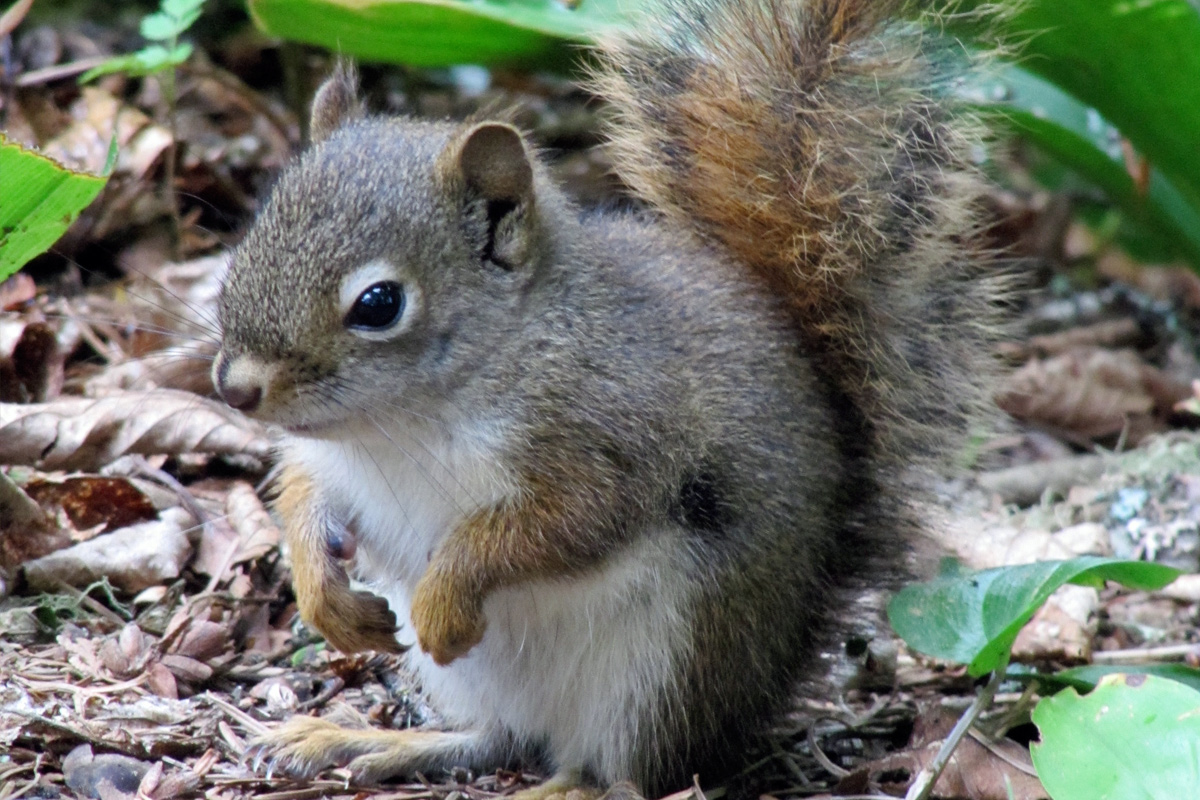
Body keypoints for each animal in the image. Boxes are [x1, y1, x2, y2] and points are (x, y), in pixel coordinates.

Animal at [211, 1, 998, 796]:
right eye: (252, 231)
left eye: (379, 304)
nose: (236, 388)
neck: (399, 424)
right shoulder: (330, 462)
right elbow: (305, 500)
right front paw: (326, 600)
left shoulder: (610, 432)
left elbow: (557, 526)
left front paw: (446, 597)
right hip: (486, 682)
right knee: (493, 739)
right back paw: (357, 740)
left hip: (671, 657)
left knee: (631, 773)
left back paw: (566, 783)